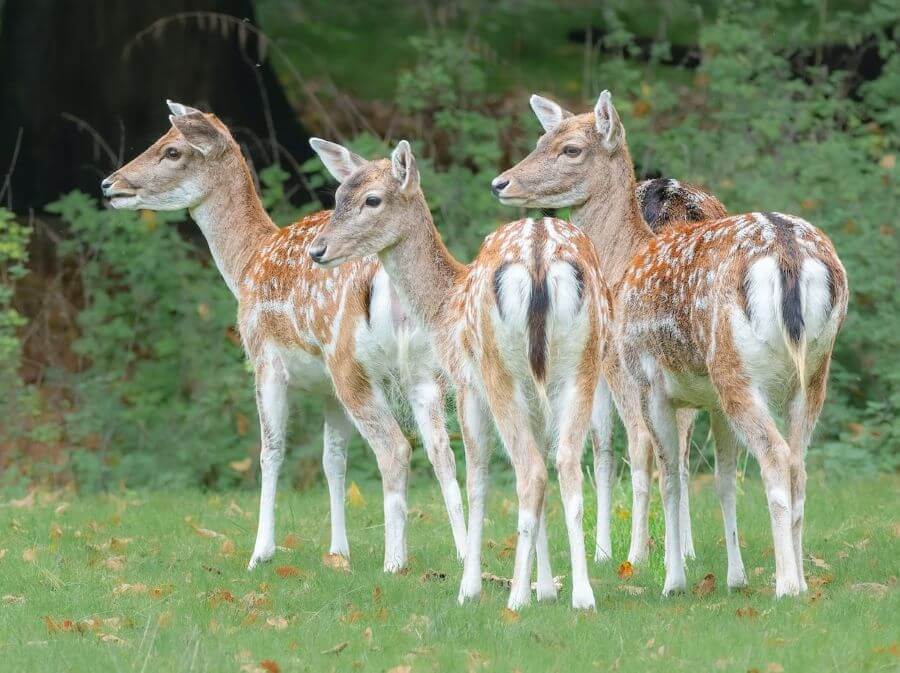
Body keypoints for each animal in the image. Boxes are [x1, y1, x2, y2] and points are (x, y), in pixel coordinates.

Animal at [101, 100, 468, 572]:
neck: (246, 264)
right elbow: (333, 460)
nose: (109, 184)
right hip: (423, 369)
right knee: (442, 450)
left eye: (173, 150)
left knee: (395, 448)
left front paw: (260, 553)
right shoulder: (328, 390)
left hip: (349, 361)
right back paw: (463, 555)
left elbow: (270, 451)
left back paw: (394, 562)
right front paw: (338, 552)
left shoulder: (264, 358)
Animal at [310, 136, 612, 608]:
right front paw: (546, 588)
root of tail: (541, 258)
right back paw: (582, 596)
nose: (317, 250)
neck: (444, 307)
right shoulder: (536, 394)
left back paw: (514, 599)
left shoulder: (466, 385)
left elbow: (476, 479)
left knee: (530, 471)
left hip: (498, 370)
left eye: (372, 199)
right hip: (580, 366)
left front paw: (472, 586)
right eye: (338, 195)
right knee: (565, 464)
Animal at [488, 90, 848, 600]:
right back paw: (800, 576)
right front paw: (729, 576)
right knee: (798, 462)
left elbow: (667, 477)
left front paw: (669, 578)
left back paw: (787, 585)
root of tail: (790, 254)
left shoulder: (644, 377)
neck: (626, 257)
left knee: (775, 459)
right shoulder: (705, 397)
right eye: (542, 139)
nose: (501, 183)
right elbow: (714, 478)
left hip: (735, 368)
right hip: (815, 371)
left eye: (571, 149)